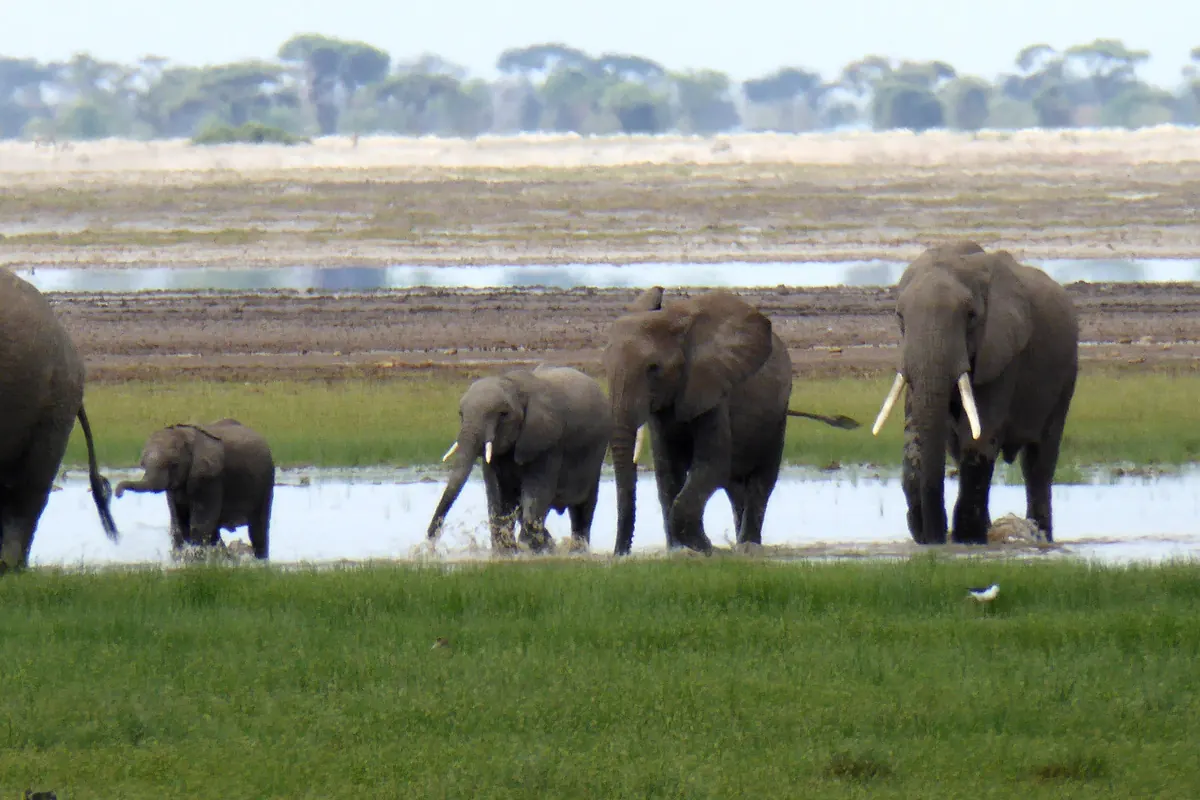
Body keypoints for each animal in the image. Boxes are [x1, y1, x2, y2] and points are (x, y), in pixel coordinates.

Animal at [115, 419, 275, 559]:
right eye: (143, 463)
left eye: (174, 464)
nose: (118, 494)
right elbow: (179, 523)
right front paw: (181, 560)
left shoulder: (210, 477)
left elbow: (200, 525)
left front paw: (195, 561)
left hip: (266, 481)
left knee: (257, 528)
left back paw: (259, 561)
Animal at [427, 365, 612, 553]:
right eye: (460, 414)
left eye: (503, 414)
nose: (431, 542)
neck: (513, 385)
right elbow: (499, 496)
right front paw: (506, 552)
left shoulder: (548, 442)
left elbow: (536, 493)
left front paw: (529, 550)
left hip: (596, 453)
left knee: (583, 508)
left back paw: (576, 550)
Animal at [605, 287, 861, 556]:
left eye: (653, 368)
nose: (620, 554)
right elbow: (667, 471)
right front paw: (680, 551)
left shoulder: (713, 389)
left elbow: (711, 465)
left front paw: (705, 549)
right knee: (735, 489)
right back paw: (740, 544)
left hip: (777, 415)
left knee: (761, 483)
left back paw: (748, 546)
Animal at [870, 240, 1079, 545]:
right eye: (900, 317)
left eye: (971, 318)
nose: (934, 538)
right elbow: (918, 437)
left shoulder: (1003, 353)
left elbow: (979, 438)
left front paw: (967, 539)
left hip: (1066, 376)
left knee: (1038, 464)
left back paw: (1040, 535)